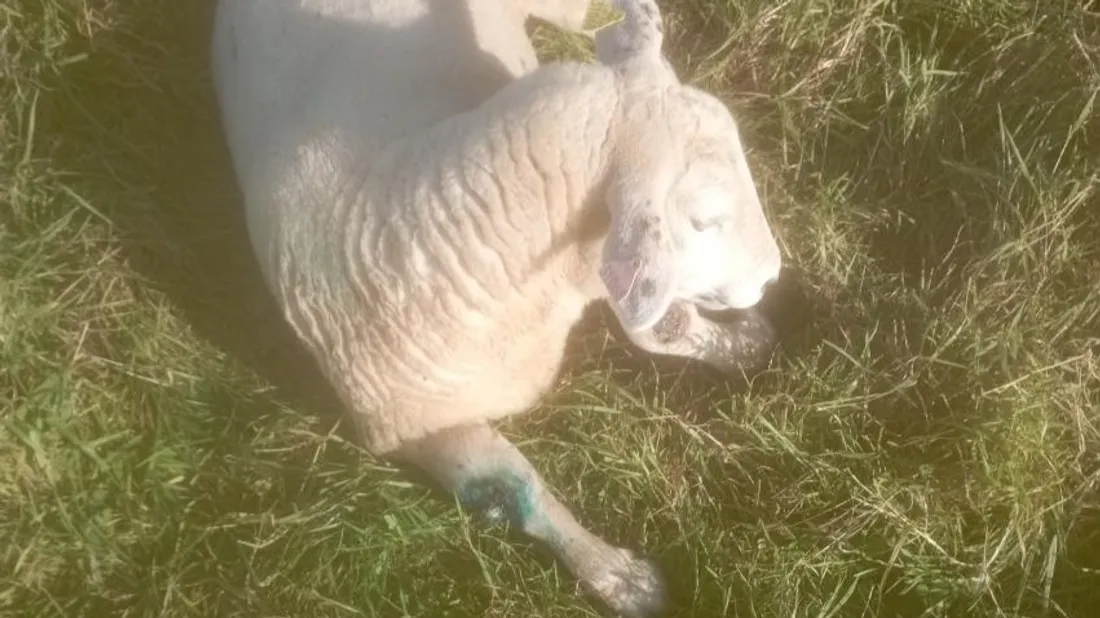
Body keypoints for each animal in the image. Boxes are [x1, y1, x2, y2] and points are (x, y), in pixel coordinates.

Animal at [209, 1, 783, 616]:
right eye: (705, 219)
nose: (772, 275)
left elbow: (663, 327)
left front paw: (741, 345)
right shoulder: (417, 427)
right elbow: (517, 491)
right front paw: (618, 576)